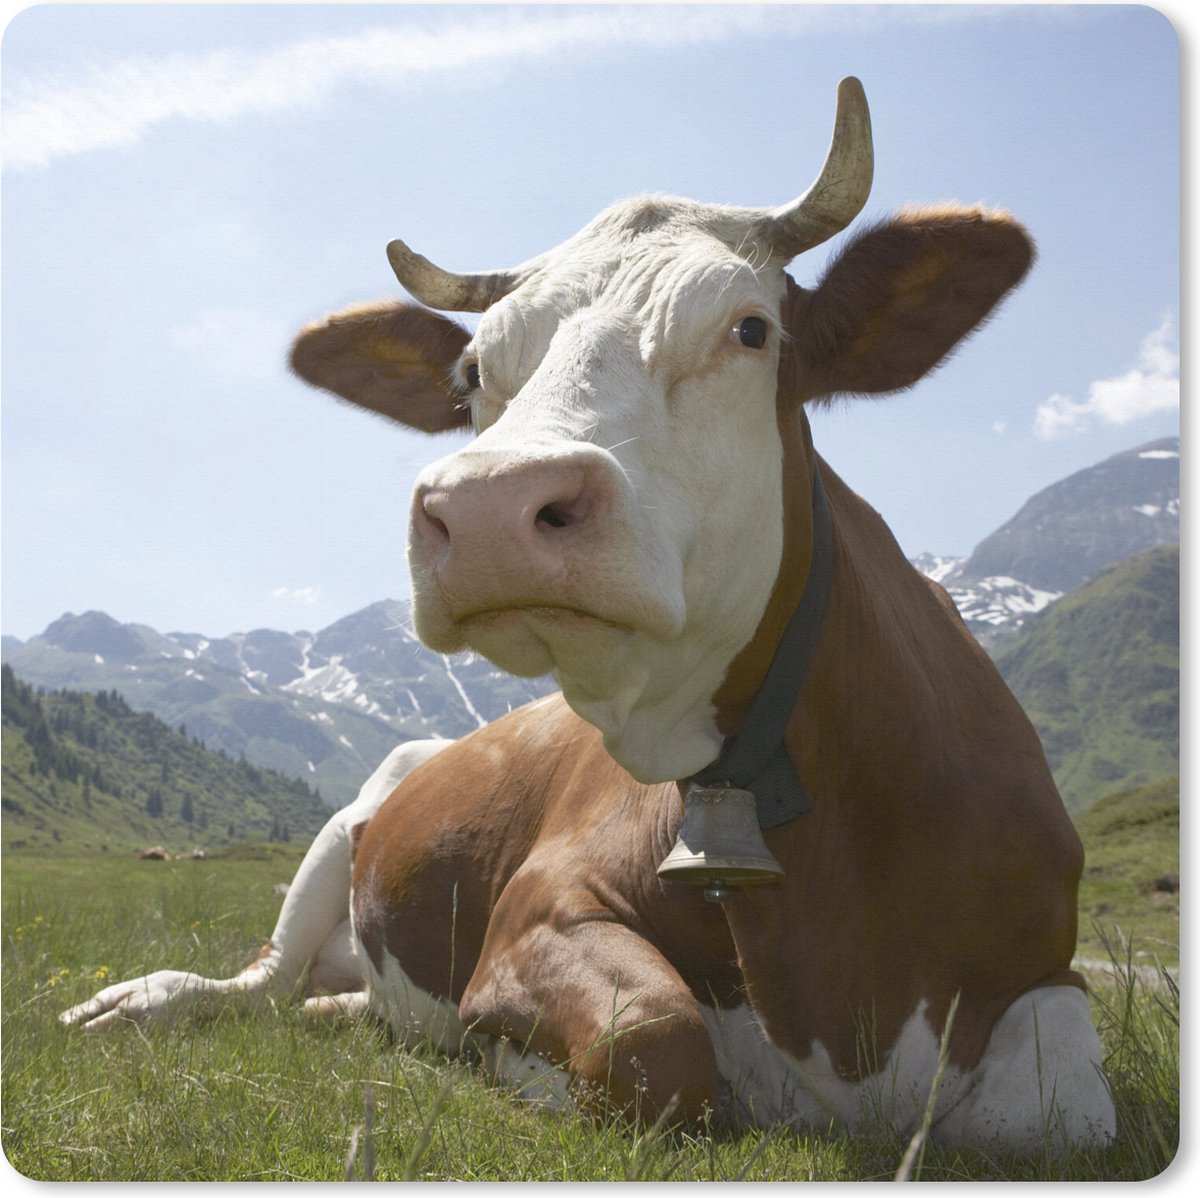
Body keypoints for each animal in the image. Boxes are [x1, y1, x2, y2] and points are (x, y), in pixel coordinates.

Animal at [62, 79, 1115, 1154]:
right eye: (471, 374)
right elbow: (654, 1040)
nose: (489, 507)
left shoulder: (1047, 979)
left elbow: (1066, 1113)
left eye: (750, 330)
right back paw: (146, 1000)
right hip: (340, 831)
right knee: (258, 983)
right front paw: (509, 1067)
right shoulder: (539, 908)